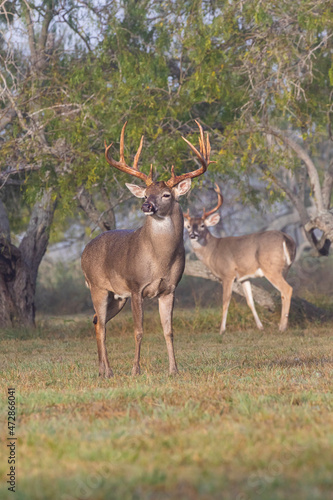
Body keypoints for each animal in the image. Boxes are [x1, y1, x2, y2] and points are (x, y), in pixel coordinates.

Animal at [81, 122, 213, 378]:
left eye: (166, 194)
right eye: (145, 193)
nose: (146, 205)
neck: (159, 260)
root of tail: (83, 253)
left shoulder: (169, 289)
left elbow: (168, 331)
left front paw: (174, 369)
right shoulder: (135, 287)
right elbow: (138, 331)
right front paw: (135, 370)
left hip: (116, 296)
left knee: (97, 322)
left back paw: (102, 370)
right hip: (98, 287)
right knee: (101, 326)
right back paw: (108, 371)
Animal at [184, 186, 296, 334]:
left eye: (203, 225)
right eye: (188, 226)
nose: (193, 235)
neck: (213, 251)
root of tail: (286, 238)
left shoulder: (228, 274)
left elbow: (226, 301)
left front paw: (222, 330)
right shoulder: (244, 277)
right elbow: (250, 302)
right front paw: (260, 327)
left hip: (271, 268)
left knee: (287, 289)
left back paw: (282, 327)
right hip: (285, 269)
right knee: (283, 292)